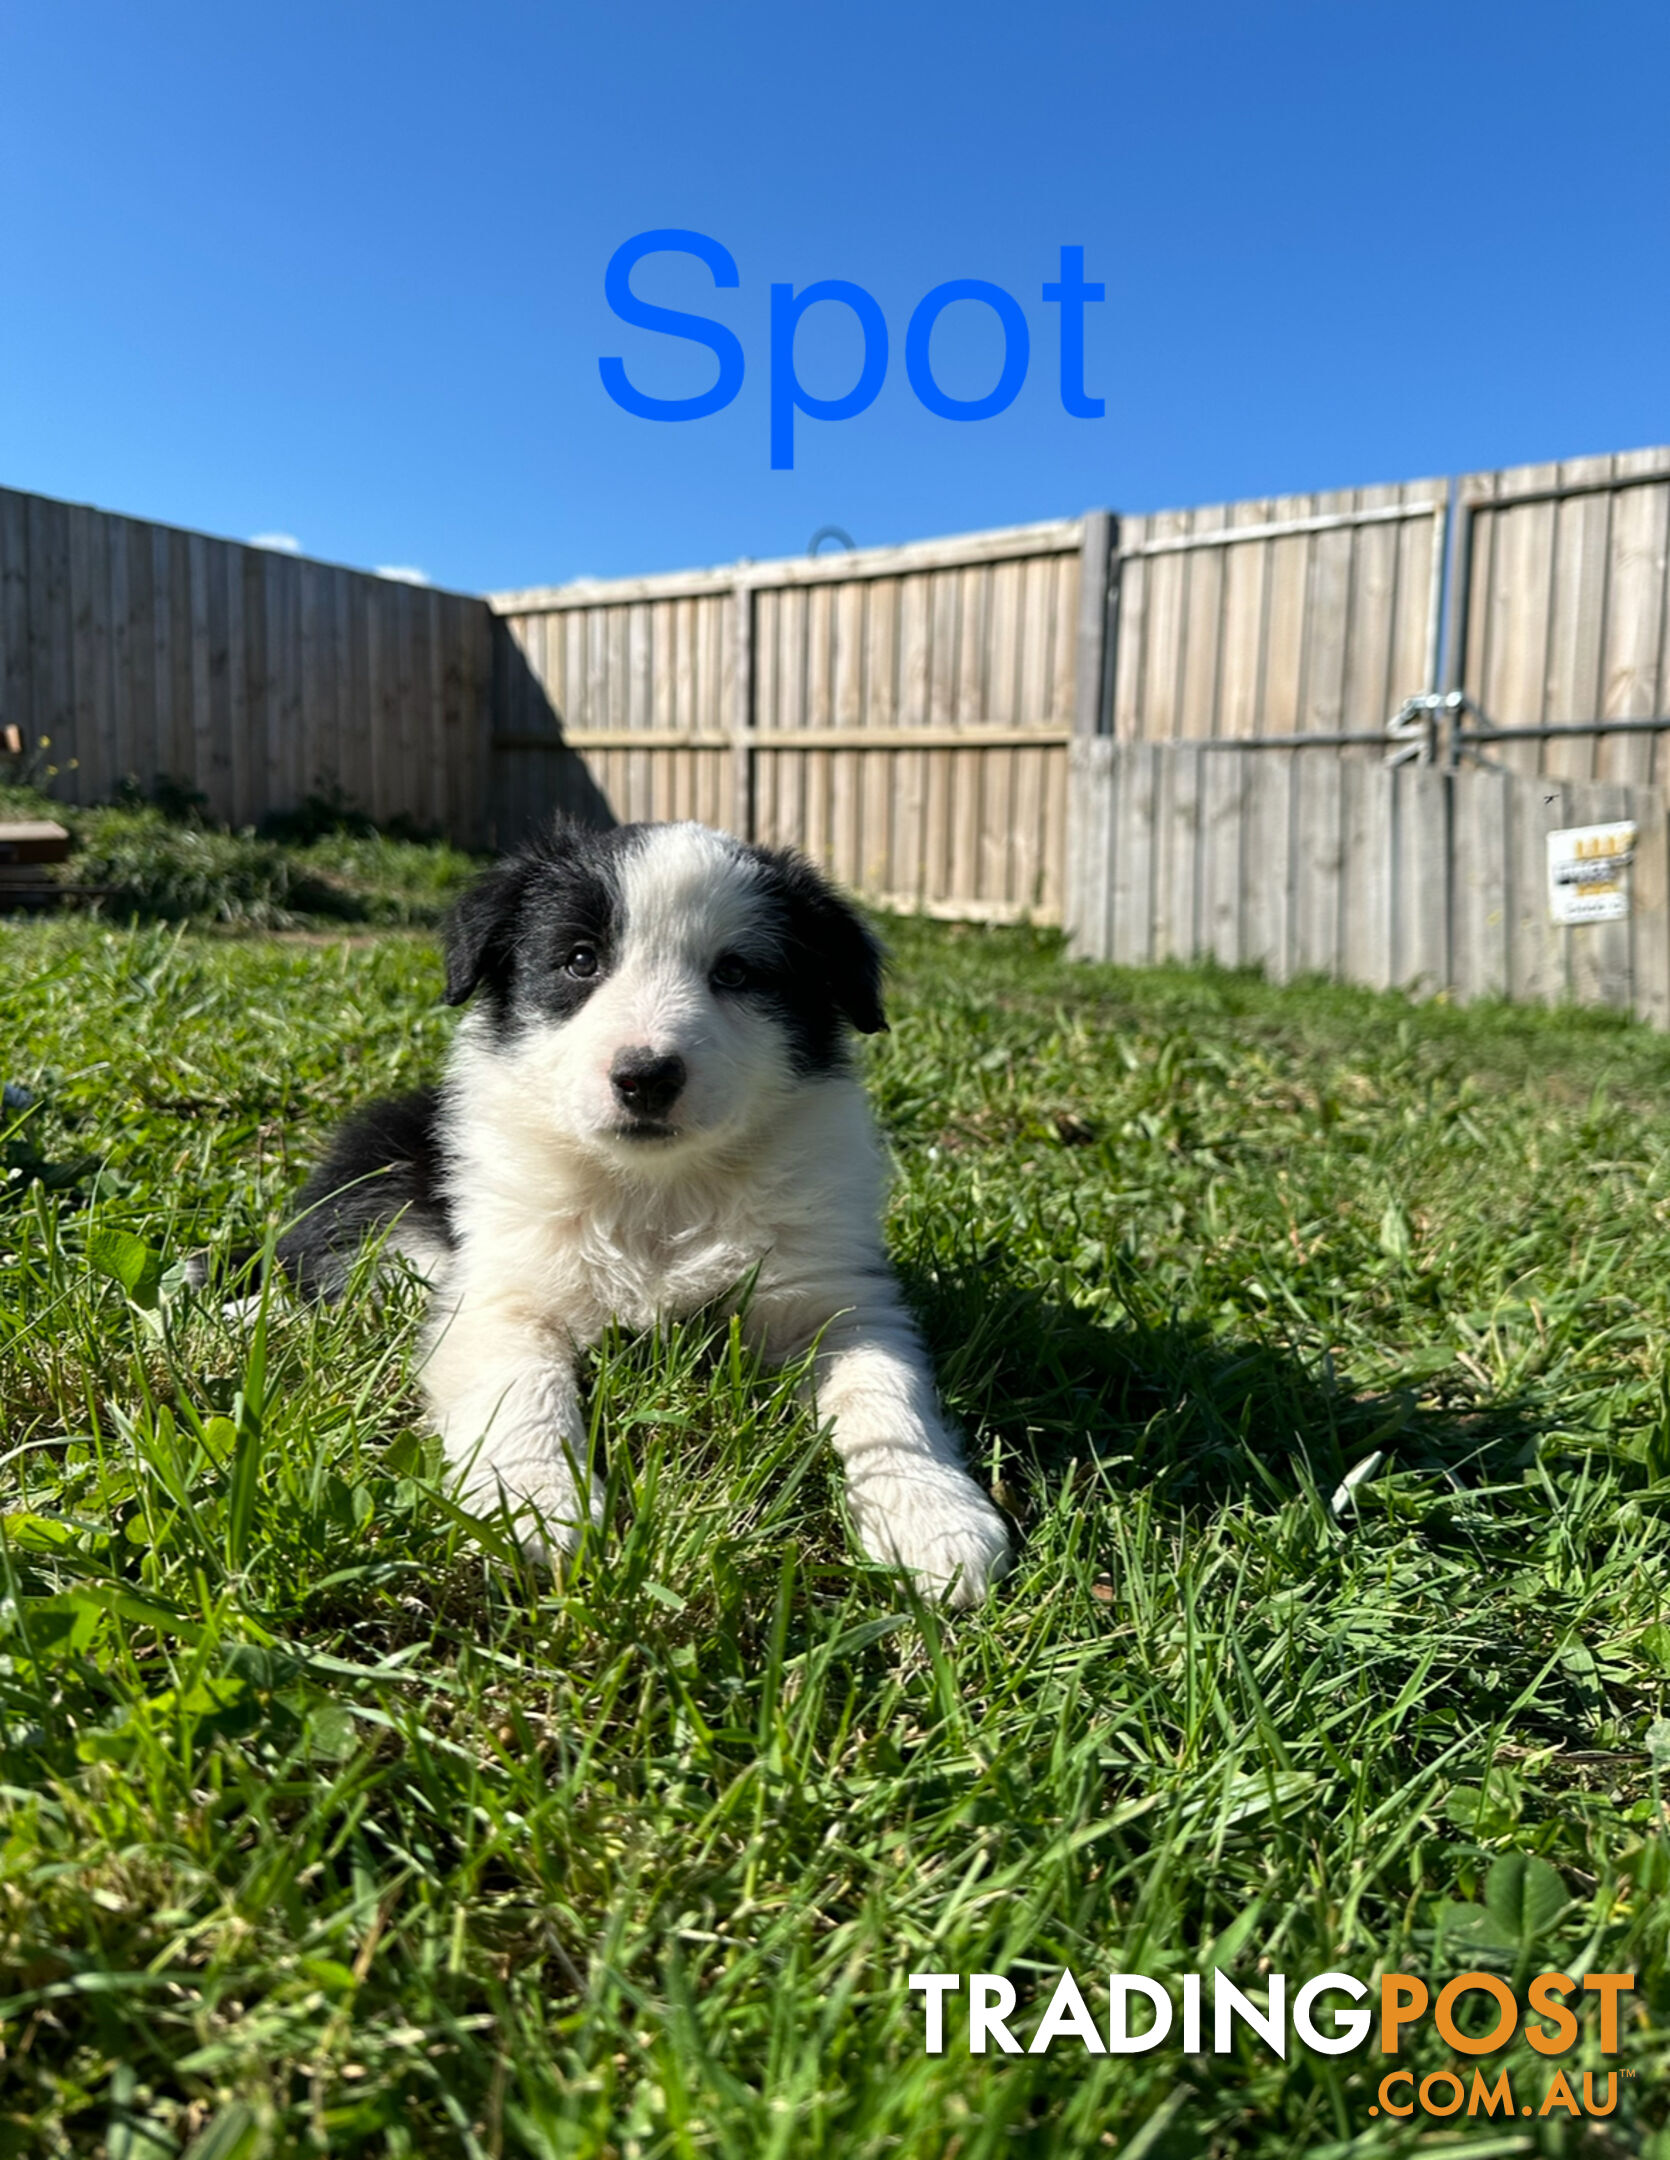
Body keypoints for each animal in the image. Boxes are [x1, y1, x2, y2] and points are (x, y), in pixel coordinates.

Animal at [280, 816, 1011, 1615]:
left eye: (736, 973)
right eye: (580, 960)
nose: (645, 1078)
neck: (659, 1189)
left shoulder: (834, 1296)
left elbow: (886, 1395)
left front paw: (934, 1518)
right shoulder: (502, 1292)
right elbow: (522, 1388)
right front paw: (535, 1507)